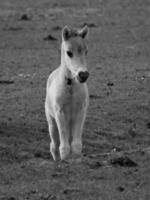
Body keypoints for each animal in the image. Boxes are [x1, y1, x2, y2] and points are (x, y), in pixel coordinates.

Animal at [44, 25, 89, 161]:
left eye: (86, 51)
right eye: (69, 52)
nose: (83, 75)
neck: (70, 87)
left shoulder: (81, 111)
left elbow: (76, 144)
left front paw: (76, 158)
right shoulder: (60, 112)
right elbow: (63, 145)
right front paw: (64, 158)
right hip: (52, 122)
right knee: (54, 144)